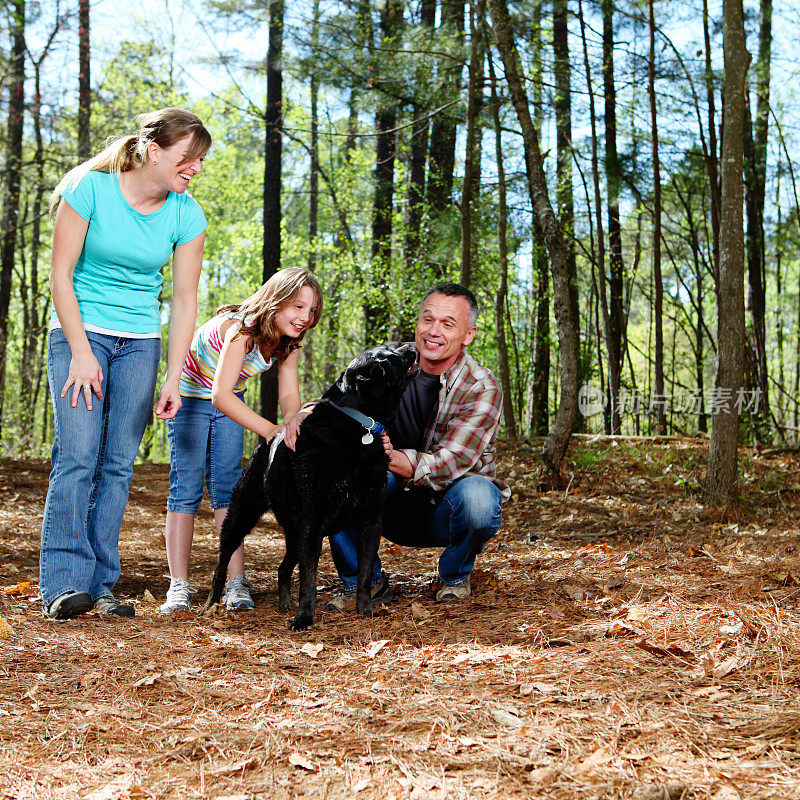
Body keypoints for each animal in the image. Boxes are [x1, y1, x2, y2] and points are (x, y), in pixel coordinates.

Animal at [203, 344, 418, 632]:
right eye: (390, 355)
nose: (413, 346)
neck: (358, 428)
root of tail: (264, 444)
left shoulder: (370, 519)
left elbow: (364, 573)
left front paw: (365, 610)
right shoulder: (313, 523)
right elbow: (309, 580)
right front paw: (304, 618)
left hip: (294, 535)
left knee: (282, 568)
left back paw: (285, 603)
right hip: (240, 518)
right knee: (222, 564)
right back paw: (211, 604)